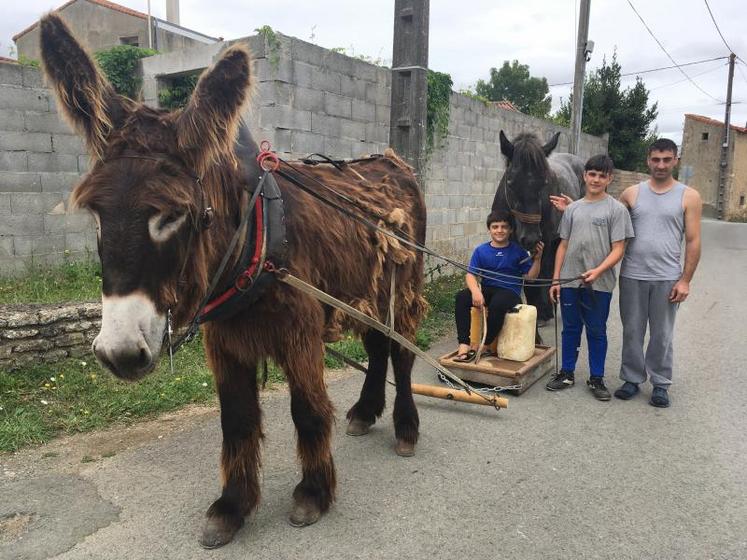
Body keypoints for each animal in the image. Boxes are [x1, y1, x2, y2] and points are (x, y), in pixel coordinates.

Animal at [490, 130, 592, 320]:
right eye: (510, 182)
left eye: (544, 182)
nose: (530, 238)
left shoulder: (546, 241)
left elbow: (541, 273)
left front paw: (542, 310)